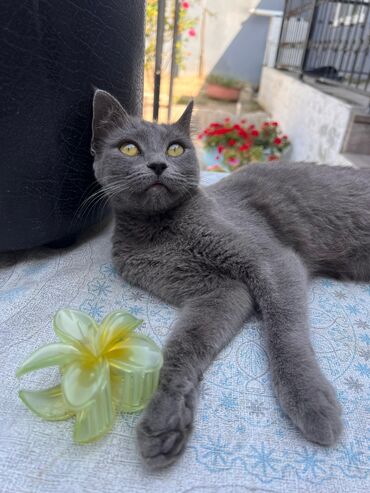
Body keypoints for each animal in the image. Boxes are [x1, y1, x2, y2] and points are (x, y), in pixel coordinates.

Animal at [90, 89, 370, 468]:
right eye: (130, 148)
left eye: (175, 149)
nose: (159, 165)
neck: (162, 230)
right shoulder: (217, 290)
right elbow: (182, 345)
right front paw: (166, 418)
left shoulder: (271, 259)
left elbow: (284, 331)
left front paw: (309, 400)